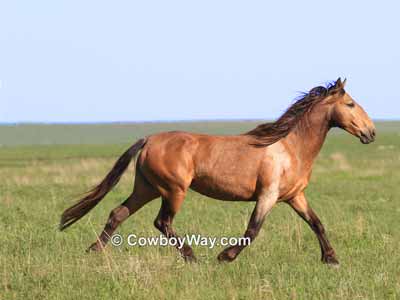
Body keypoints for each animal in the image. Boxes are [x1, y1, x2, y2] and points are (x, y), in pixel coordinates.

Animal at [59, 78, 376, 264]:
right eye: (350, 104)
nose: (371, 133)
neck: (289, 147)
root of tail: (149, 139)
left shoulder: (295, 196)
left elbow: (317, 223)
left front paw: (331, 259)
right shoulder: (268, 195)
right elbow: (252, 230)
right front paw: (225, 256)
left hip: (147, 188)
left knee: (118, 213)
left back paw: (93, 251)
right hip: (173, 190)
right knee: (162, 222)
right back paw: (192, 257)